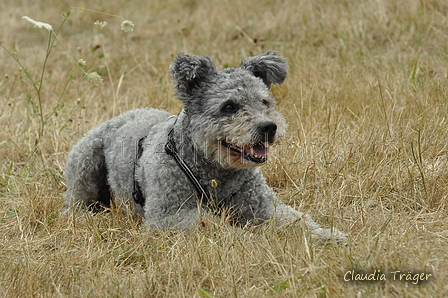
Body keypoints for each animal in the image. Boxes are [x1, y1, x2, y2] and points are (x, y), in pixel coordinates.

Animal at [64, 51, 346, 240]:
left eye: (264, 102)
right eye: (229, 106)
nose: (269, 127)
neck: (216, 173)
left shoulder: (264, 207)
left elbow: (297, 220)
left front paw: (326, 235)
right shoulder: (170, 216)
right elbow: (219, 229)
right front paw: (252, 241)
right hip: (85, 163)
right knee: (75, 202)